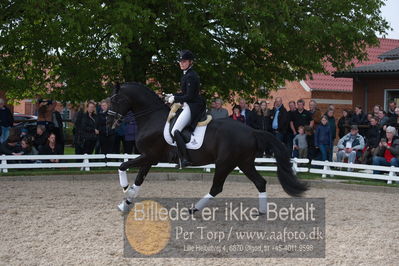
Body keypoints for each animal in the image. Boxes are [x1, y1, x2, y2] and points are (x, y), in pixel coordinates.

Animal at [106, 82, 310, 213]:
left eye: (116, 100)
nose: (109, 121)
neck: (151, 118)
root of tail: (252, 131)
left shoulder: (149, 156)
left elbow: (122, 166)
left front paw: (125, 189)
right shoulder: (149, 158)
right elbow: (138, 180)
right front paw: (126, 202)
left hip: (225, 163)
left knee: (217, 188)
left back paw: (194, 209)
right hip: (244, 163)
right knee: (260, 182)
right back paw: (262, 211)